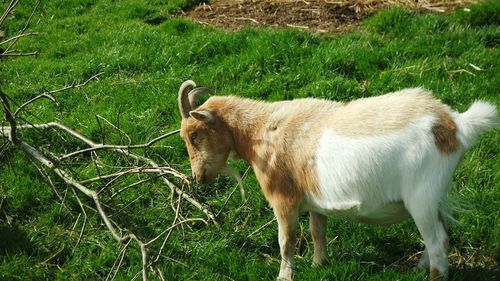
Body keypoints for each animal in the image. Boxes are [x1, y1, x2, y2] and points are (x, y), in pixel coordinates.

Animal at [176, 80, 496, 278]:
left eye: (194, 135)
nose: (197, 177)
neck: (263, 130)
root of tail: (454, 125)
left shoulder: (283, 199)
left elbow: (286, 241)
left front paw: (284, 275)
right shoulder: (314, 201)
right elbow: (318, 230)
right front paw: (320, 264)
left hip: (421, 198)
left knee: (438, 242)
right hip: (434, 198)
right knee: (438, 236)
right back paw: (419, 268)